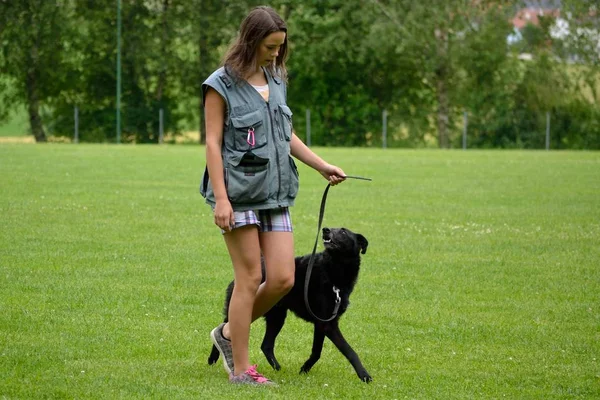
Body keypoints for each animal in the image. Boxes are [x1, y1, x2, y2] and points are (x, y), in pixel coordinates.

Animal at [209, 228, 372, 382]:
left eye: (343, 231)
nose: (325, 229)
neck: (333, 272)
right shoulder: (327, 325)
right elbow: (350, 351)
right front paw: (364, 375)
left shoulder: (322, 323)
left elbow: (317, 351)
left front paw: (305, 368)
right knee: (226, 324)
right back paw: (213, 358)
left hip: (277, 317)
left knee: (266, 345)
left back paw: (278, 369)